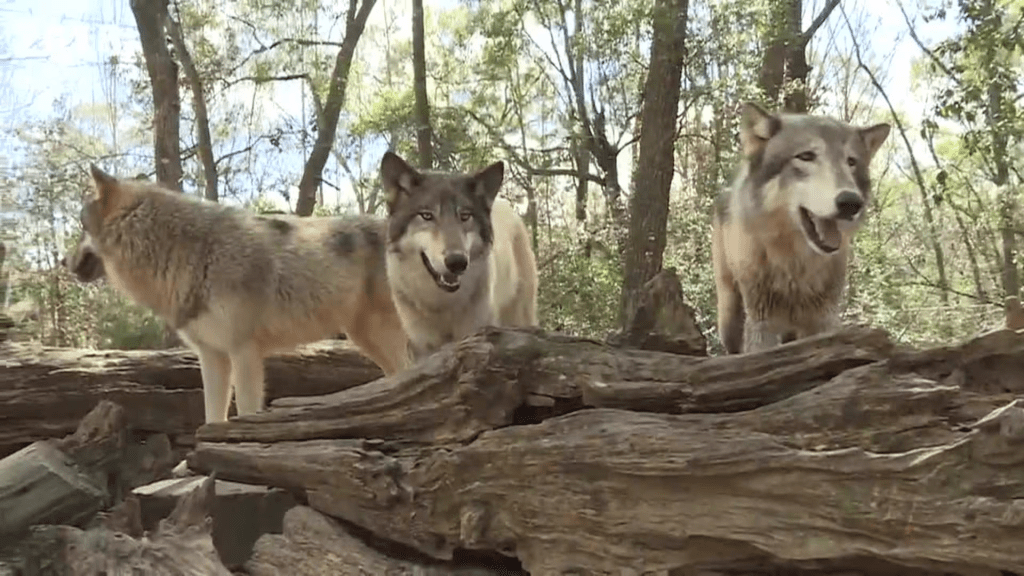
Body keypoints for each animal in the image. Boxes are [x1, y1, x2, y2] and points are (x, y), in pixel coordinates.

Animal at [63, 165, 411, 423]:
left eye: (80, 226)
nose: (63, 262)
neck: (195, 253)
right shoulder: (212, 356)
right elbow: (212, 417)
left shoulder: (244, 352)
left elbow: (244, 412)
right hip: (367, 338)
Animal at [379, 151, 538, 360]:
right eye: (426, 216)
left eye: (465, 216)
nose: (457, 262)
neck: (442, 305)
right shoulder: (421, 346)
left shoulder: (476, 334)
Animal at [711, 102, 891, 354]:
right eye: (806, 156)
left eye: (851, 162)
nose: (851, 202)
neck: (796, 265)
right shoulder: (762, 322)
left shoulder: (823, 319)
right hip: (729, 315)